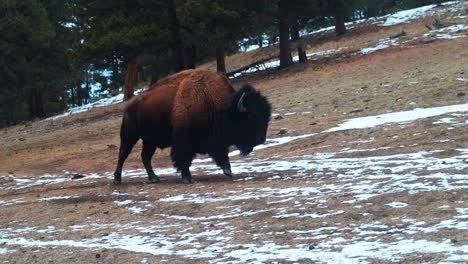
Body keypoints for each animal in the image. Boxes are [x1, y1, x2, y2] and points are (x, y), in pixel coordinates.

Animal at [114, 69, 272, 185]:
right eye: (251, 117)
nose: (261, 139)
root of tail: (129, 106)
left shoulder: (216, 140)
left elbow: (222, 154)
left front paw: (228, 171)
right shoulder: (183, 142)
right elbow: (184, 158)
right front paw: (187, 178)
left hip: (149, 141)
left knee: (145, 157)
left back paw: (154, 178)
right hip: (129, 136)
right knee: (123, 155)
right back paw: (117, 180)